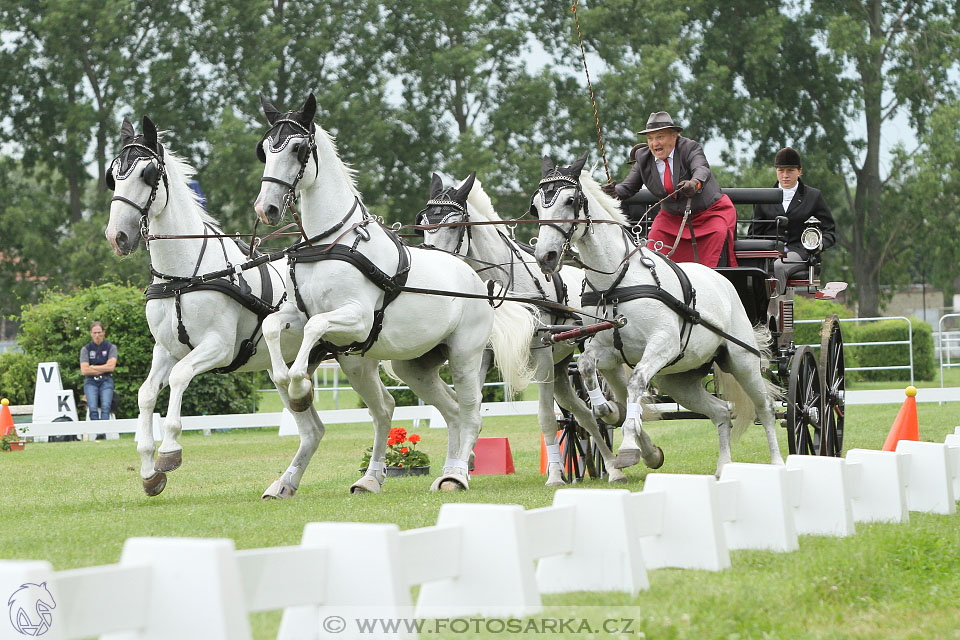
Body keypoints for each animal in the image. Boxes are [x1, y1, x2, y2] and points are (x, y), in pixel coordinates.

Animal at [104, 116, 376, 500]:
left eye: (147, 174)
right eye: (113, 175)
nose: (118, 237)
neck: (185, 275)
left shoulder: (217, 347)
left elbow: (179, 377)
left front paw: (170, 451)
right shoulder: (165, 350)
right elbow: (146, 394)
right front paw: (148, 471)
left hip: (361, 358)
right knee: (315, 429)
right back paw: (285, 483)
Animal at [251, 94, 536, 490]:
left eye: (297, 148)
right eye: (264, 150)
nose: (267, 208)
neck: (330, 245)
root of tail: (479, 282)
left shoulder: (355, 319)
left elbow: (314, 328)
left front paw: (297, 388)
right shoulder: (299, 313)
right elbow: (273, 326)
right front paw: (290, 384)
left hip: (465, 355)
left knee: (470, 412)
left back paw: (457, 476)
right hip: (412, 366)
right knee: (445, 410)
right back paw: (420, 474)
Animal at [416, 172, 628, 482]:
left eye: (454, 225)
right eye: (422, 225)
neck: (501, 284)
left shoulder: (540, 350)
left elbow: (545, 417)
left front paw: (555, 475)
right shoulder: (482, 353)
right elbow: (472, 407)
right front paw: (463, 465)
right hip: (560, 368)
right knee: (583, 416)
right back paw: (611, 466)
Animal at [528, 154, 784, 476]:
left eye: (570, 200)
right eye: (536, 206)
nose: (545, 257)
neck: (617, 282)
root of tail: (722, 279)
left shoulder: (663, 343)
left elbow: (636, 383)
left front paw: (629, 445)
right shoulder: (607, 350)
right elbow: (587, 367)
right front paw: (609, 411)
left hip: (742, 361)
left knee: (765, 408)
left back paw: (778, 463)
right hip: (678, 380)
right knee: (721, 412)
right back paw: (724, 466)